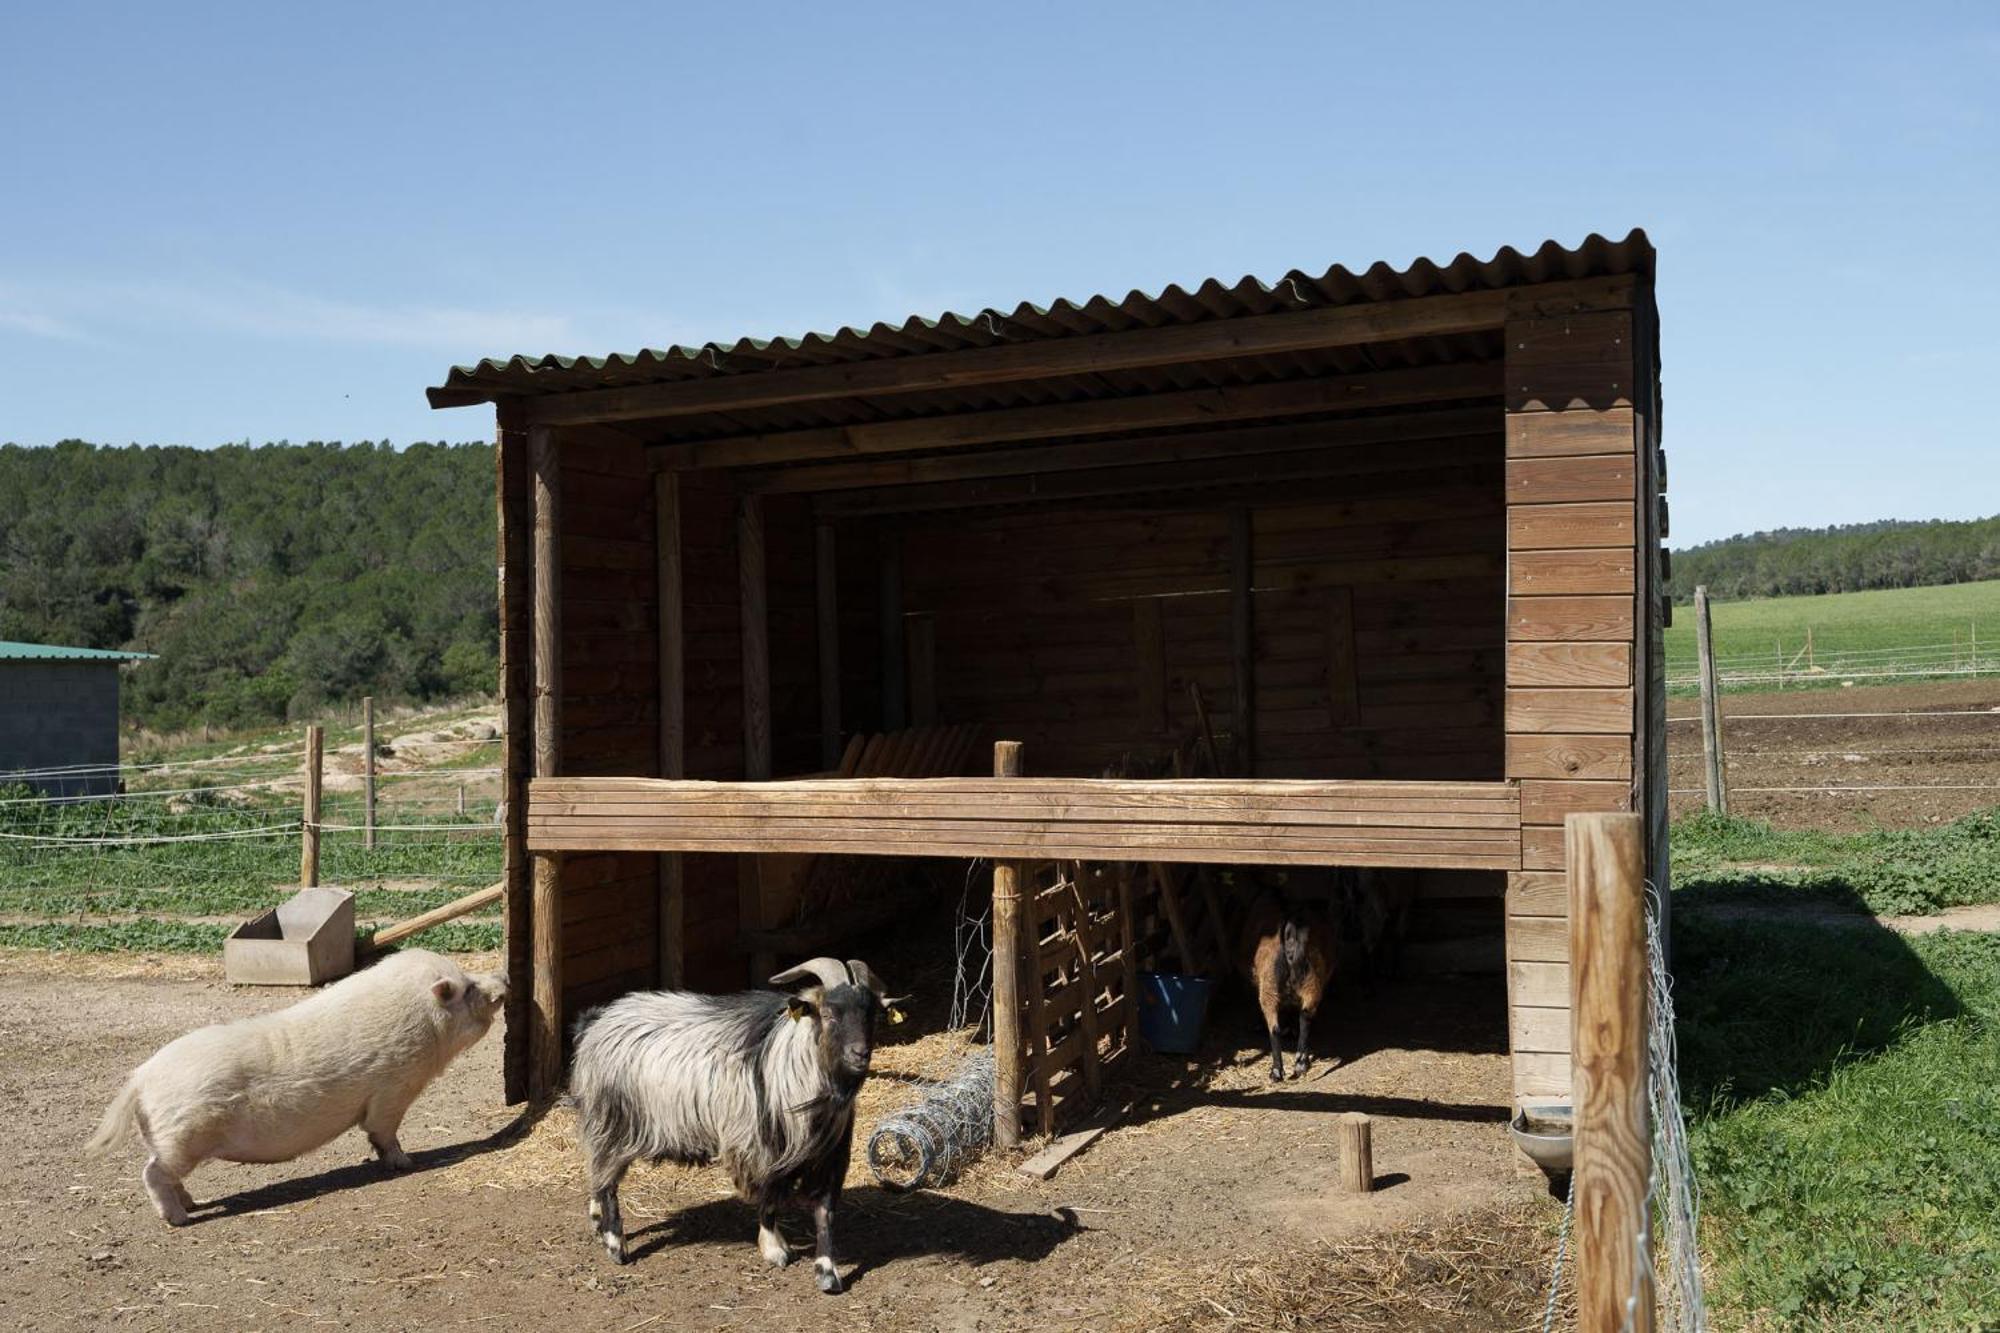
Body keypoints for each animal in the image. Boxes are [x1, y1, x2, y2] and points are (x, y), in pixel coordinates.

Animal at [88, 944, 508, 1216]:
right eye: (467, 988)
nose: (503, 979)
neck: (424, 1026)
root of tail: (140, 1078)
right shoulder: (392, 1089)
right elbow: (382, 1132)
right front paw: (406, 1163)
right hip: (182, 1137)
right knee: (152, 1172)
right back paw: (177, 1218)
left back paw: (191, 1204)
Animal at [564, 956, 908, 1288]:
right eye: (828, 1013)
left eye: (873, 1015)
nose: (860, 1054)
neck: (794, 1065)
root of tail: (596, 1022)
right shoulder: (760, 1148)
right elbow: (769, 1200)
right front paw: (774, 1249)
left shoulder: (828, 1156)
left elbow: (825, 1211)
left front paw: (827, 1273)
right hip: (612, 1123)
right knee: (607, 1183)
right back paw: (615, 1245)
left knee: (598, 1175)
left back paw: (597, 1221)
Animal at [1224, 880, 1336, 1080]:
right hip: (1311, 984)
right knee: (1305, 1017)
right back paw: (1301, 1063)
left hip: (1269, 988)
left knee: (1274, 1028)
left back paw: (1277, 1070)